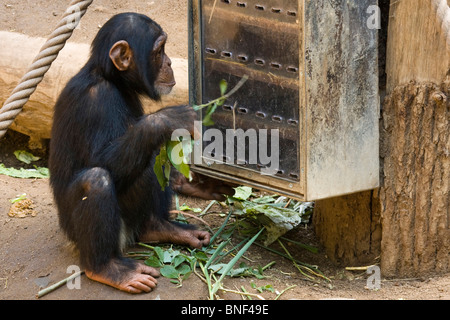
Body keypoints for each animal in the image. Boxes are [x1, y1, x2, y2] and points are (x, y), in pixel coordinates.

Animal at [49, 11, 232, 292]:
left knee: (152, 158)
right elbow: (99, 160)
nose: (169, 61)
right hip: (78, 233)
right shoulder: (94, 101)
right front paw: (168, 118)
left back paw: (162, 228)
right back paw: (109, 269)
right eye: (159, 51)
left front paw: (199, 183)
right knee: (96, 179)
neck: (113, 80)